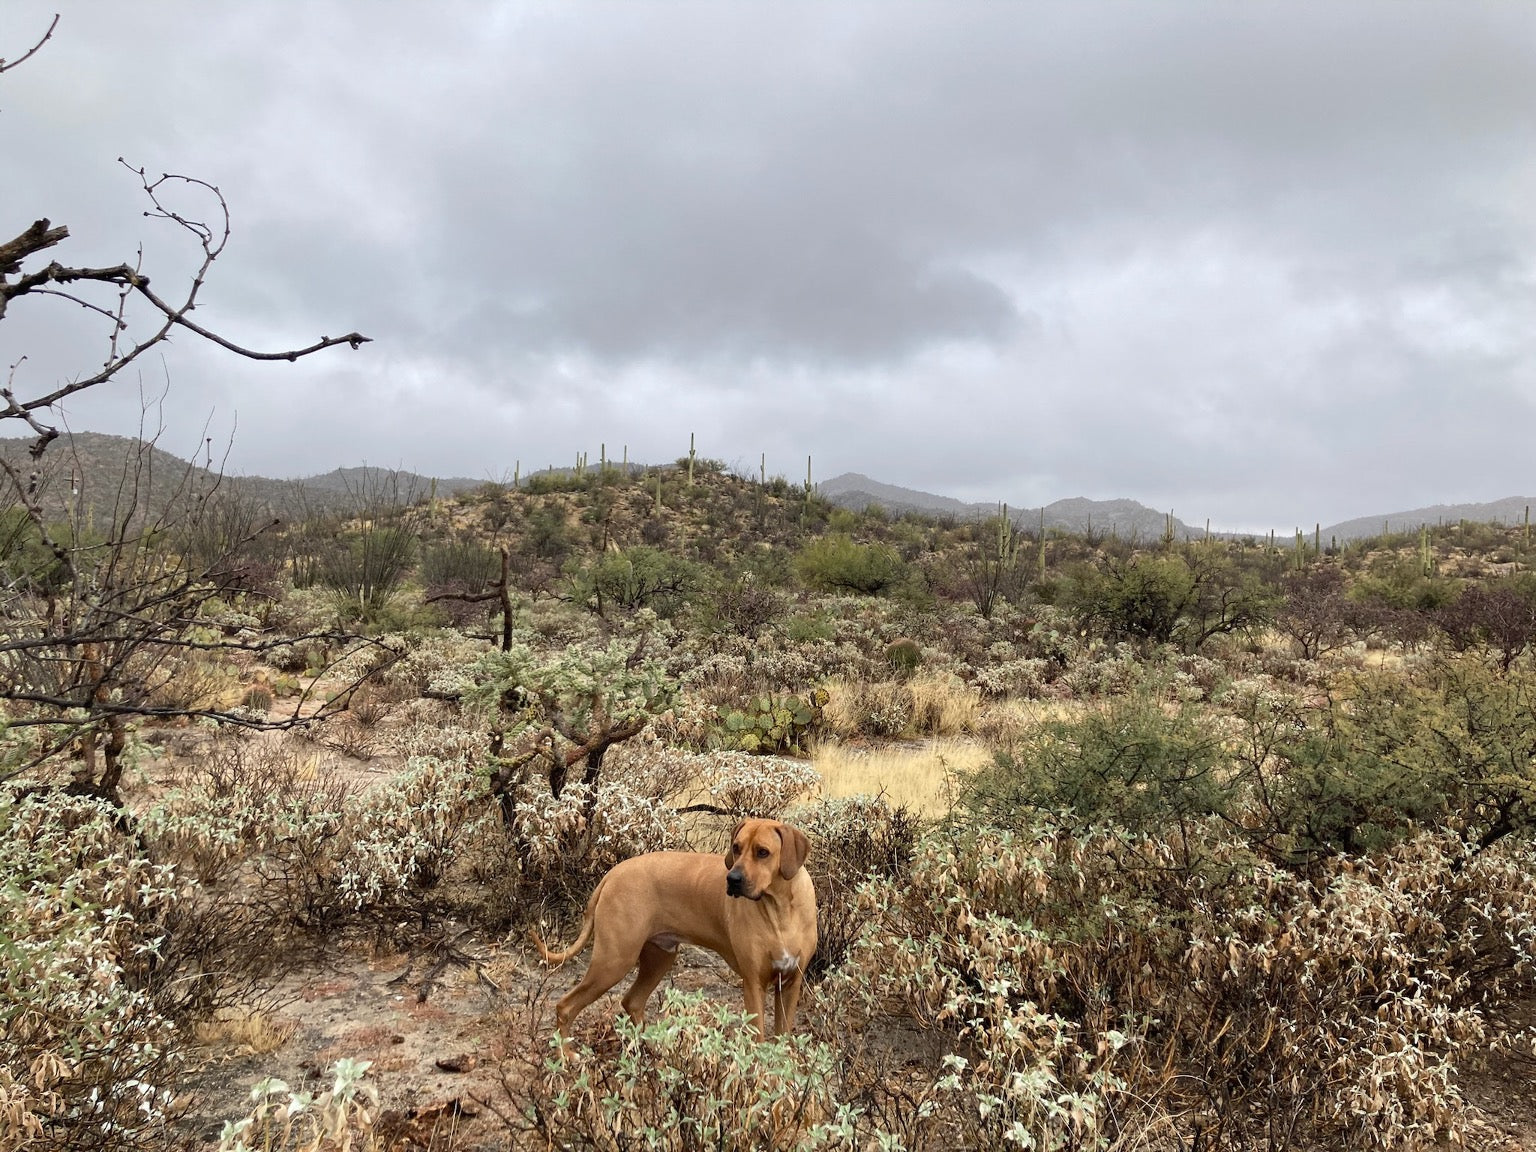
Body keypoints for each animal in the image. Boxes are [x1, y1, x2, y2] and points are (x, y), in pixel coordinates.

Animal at [534, 817, 817, 1044]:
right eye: (736, 847)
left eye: (763, 852)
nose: (733, 879)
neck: (780, 911)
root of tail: (613, 873)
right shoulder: (753, 983)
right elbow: (758, 1040)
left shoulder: (790, 984)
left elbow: (782, 1037)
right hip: (613, 960)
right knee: (565, 1006)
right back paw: (568, 1058)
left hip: (660, 957)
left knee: (632, 1001)